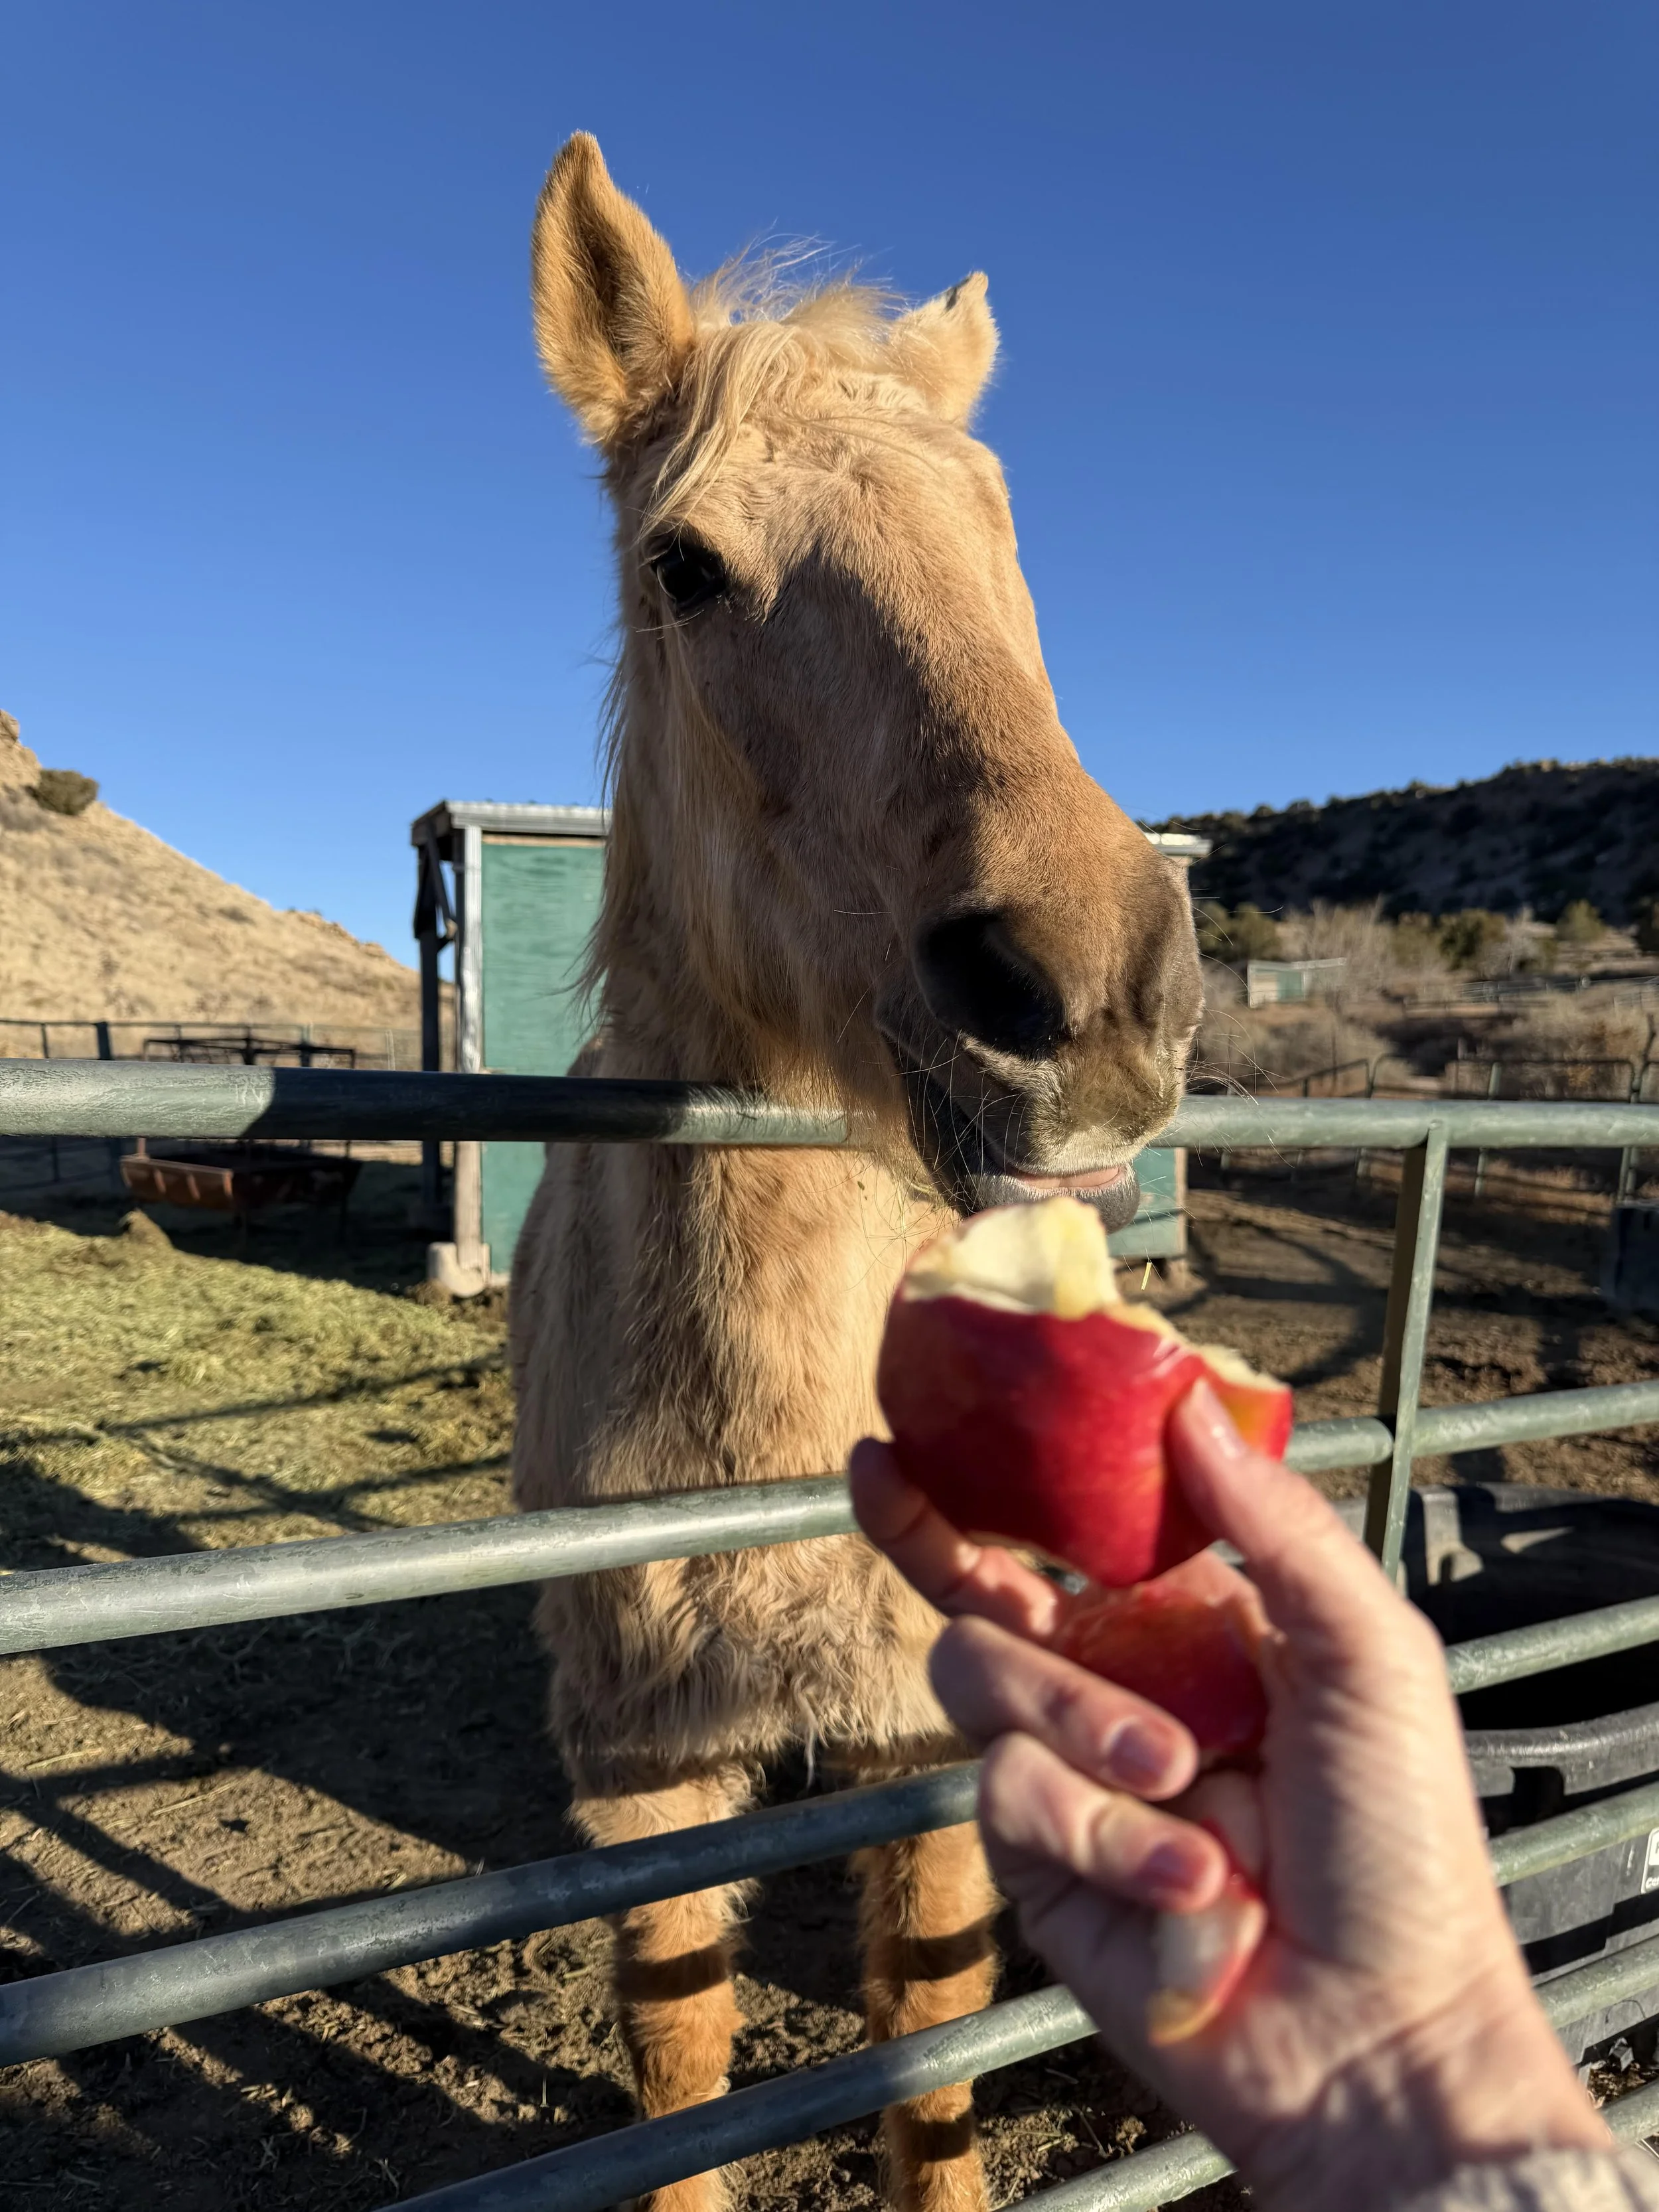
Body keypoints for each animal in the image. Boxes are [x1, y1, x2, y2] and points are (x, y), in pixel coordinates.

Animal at [509, 134, 1202, 2212]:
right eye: (685, 563)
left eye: (1005, 540)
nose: (1094, 986)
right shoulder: (640, 1767)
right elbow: (681, 2058)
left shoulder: (919, 1728)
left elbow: (927, 2040)